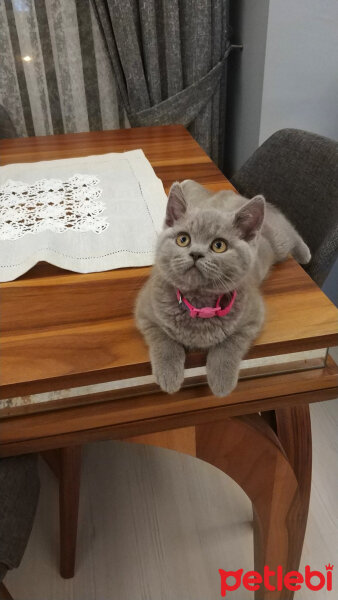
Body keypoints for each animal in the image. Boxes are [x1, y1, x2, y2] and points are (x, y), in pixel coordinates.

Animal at [135, 180, 312, 396]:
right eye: (183, 239)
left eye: (219, 245)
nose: (196, 253)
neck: (199, 303)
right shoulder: (145, 310)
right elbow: (163, 338)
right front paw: (169, 374)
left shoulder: (253, 317)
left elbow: (230, 344)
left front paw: (221, 381)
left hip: (279, 242)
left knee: (285, 225)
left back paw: (304, 252)